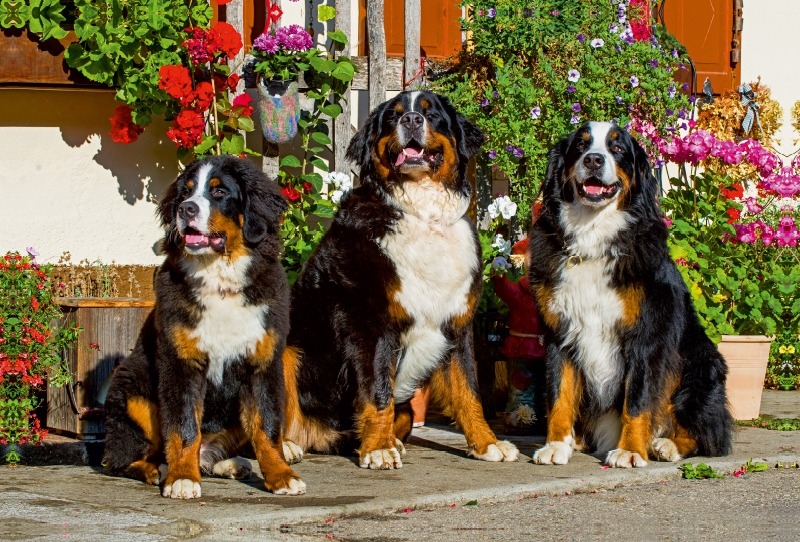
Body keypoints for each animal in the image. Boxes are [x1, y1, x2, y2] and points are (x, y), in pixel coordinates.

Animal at [102, 155, 306, 500]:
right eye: (185, 192)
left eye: (219, 191)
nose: (186, 209)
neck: (220, 280)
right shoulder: (181, 363)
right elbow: (184, 427)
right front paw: (183, 478)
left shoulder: (262, 363)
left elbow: (266, 427)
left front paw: (281, 476)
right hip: (131, 389)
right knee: (122, 458)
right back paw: (159, 470)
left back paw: (233, 463)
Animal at [282, 91, 520, 470]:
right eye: (393, 117)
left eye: (431, 114)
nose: (410, 120)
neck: (424, 216)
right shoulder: (370, 324)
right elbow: (377, 390)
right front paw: (378, 448)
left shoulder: (457, 326)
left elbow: (468, 391)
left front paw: (487, 444)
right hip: (288, 350)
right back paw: (286, 447)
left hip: (405, 408)